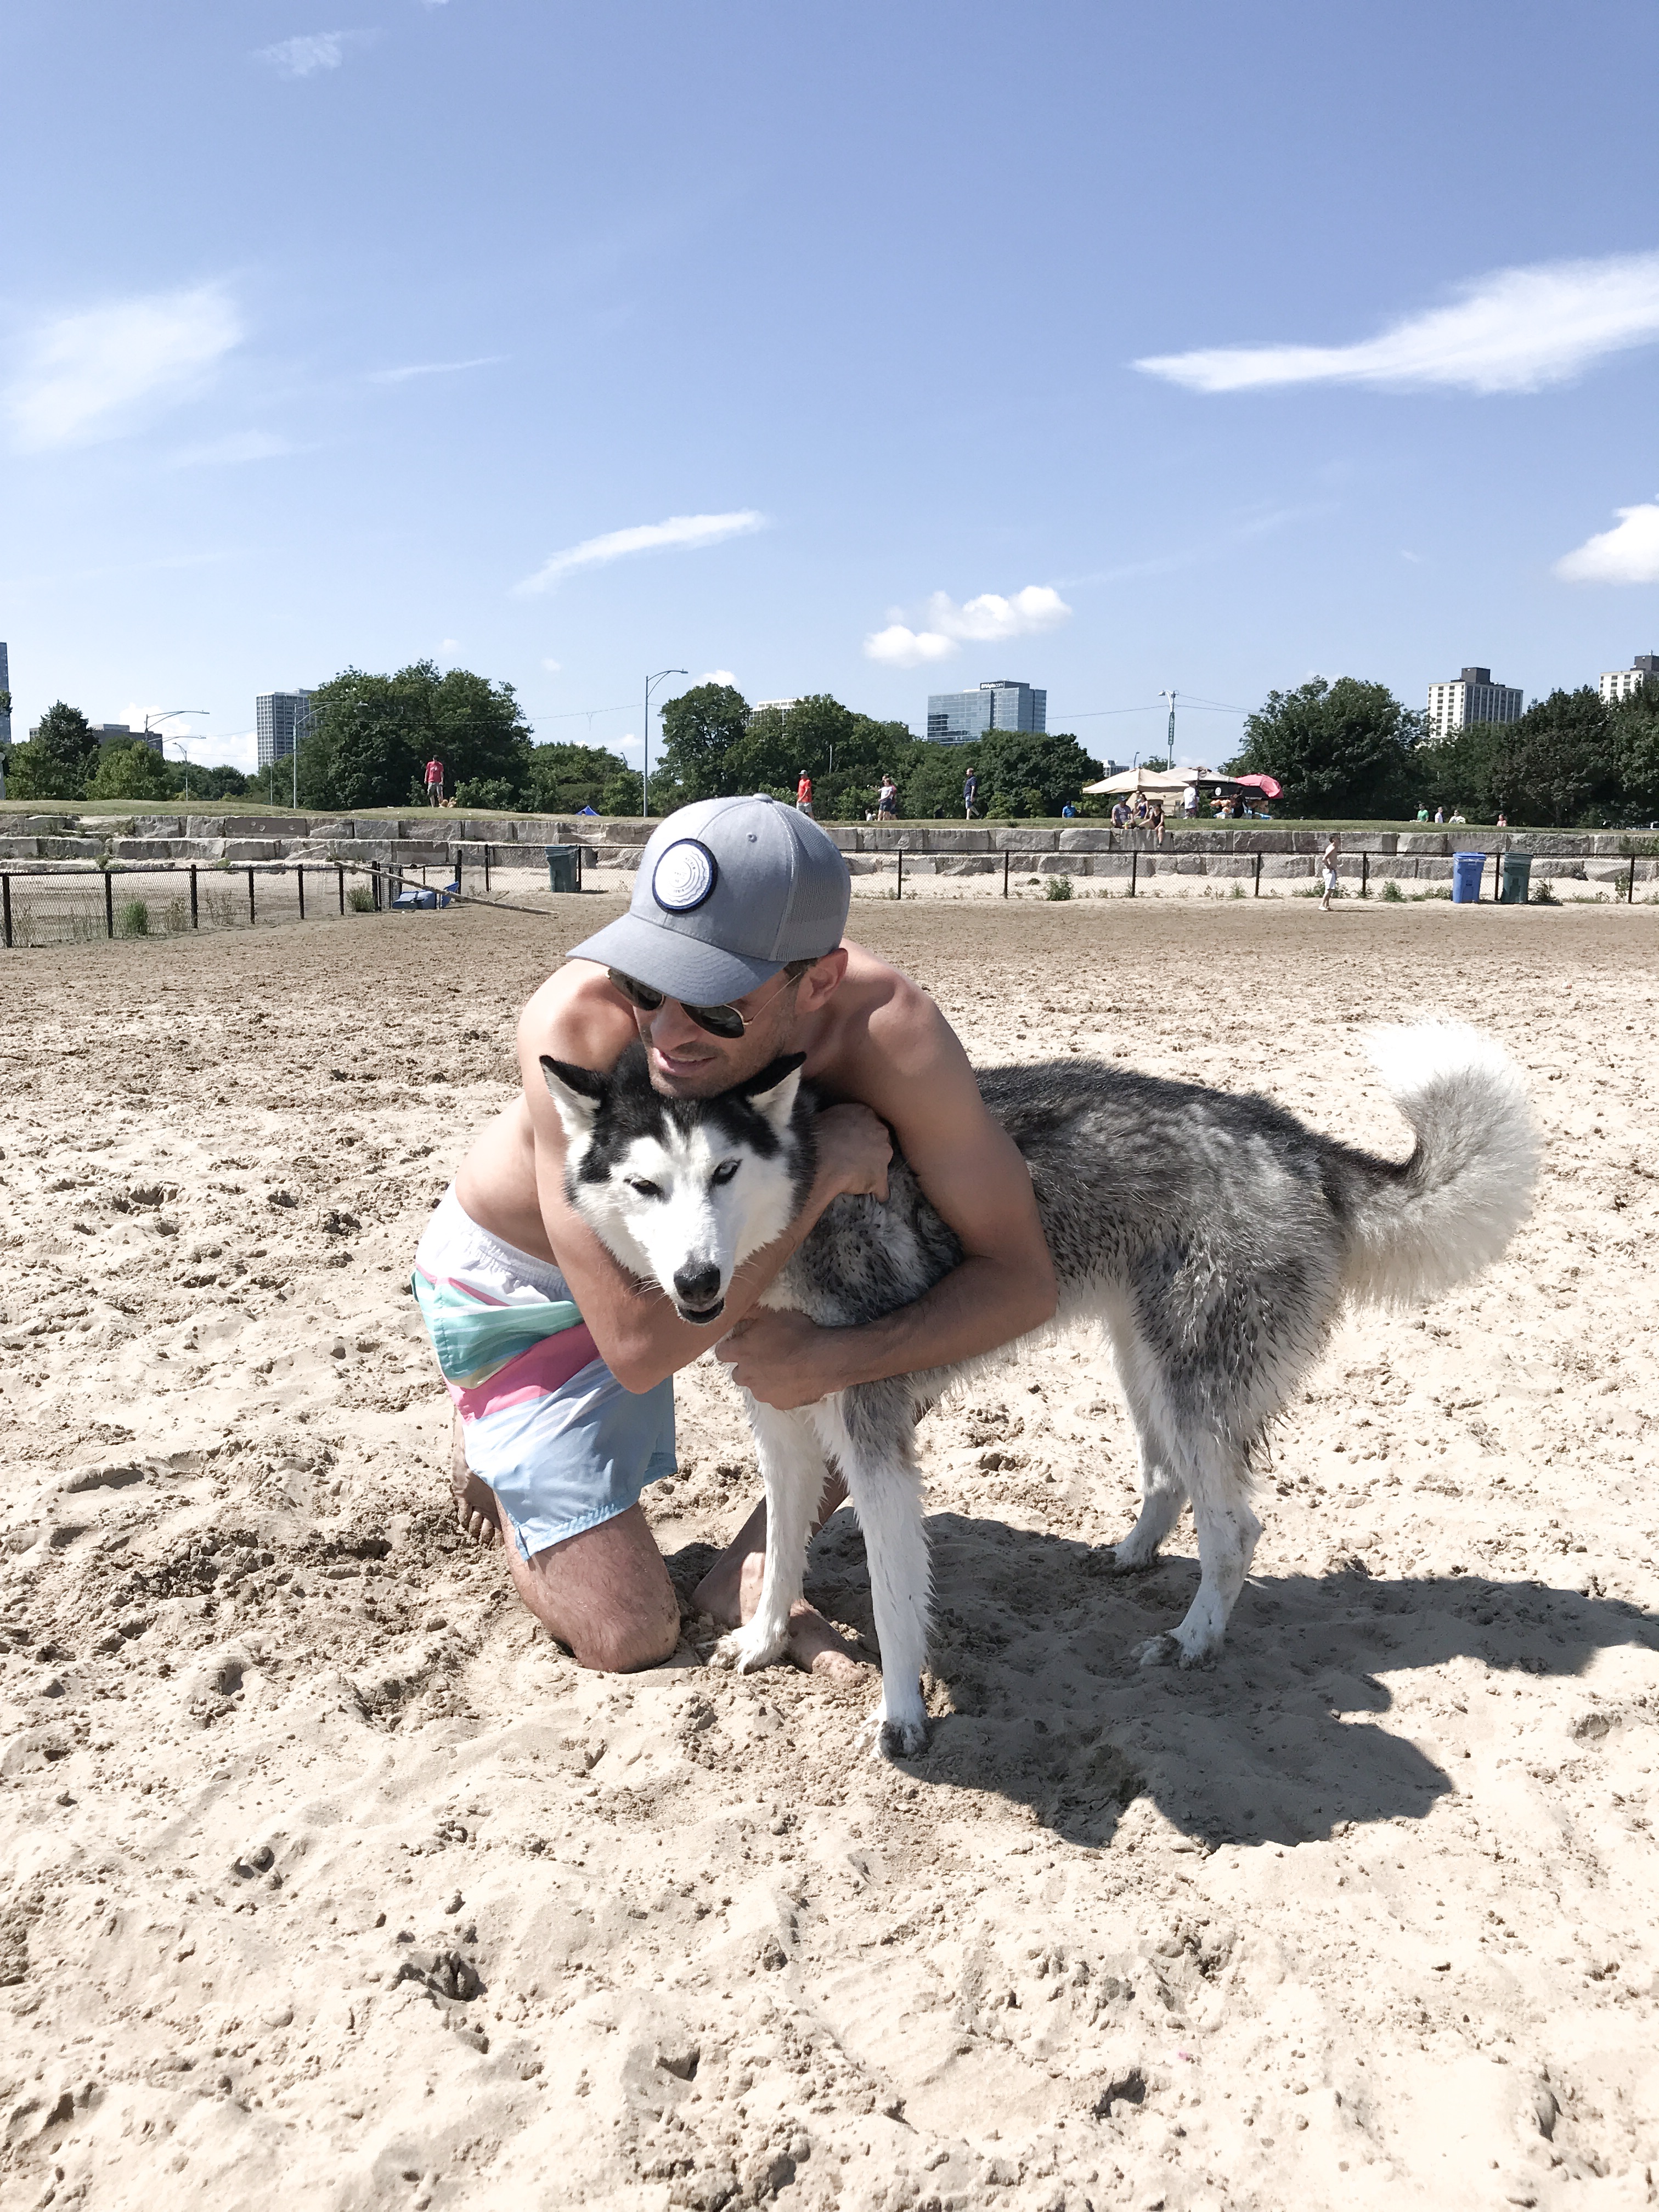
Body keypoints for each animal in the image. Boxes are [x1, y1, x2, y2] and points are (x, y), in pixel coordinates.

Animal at [539, 1030, 1539, 1760]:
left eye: (721, 1174)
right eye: (645, 1185)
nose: (697, 1280)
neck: (797, 1220)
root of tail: (1296, 1143)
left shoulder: (873, 1443)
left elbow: (895, 1598)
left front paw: (901, 1718)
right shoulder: (784, 1431)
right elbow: (781, 1553)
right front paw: (760, 1640)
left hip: (1192, 1387)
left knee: (1234, 1530)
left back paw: (1191, 1640)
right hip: (1143, 1366)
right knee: (1167, 1479)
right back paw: (1132, 1554)